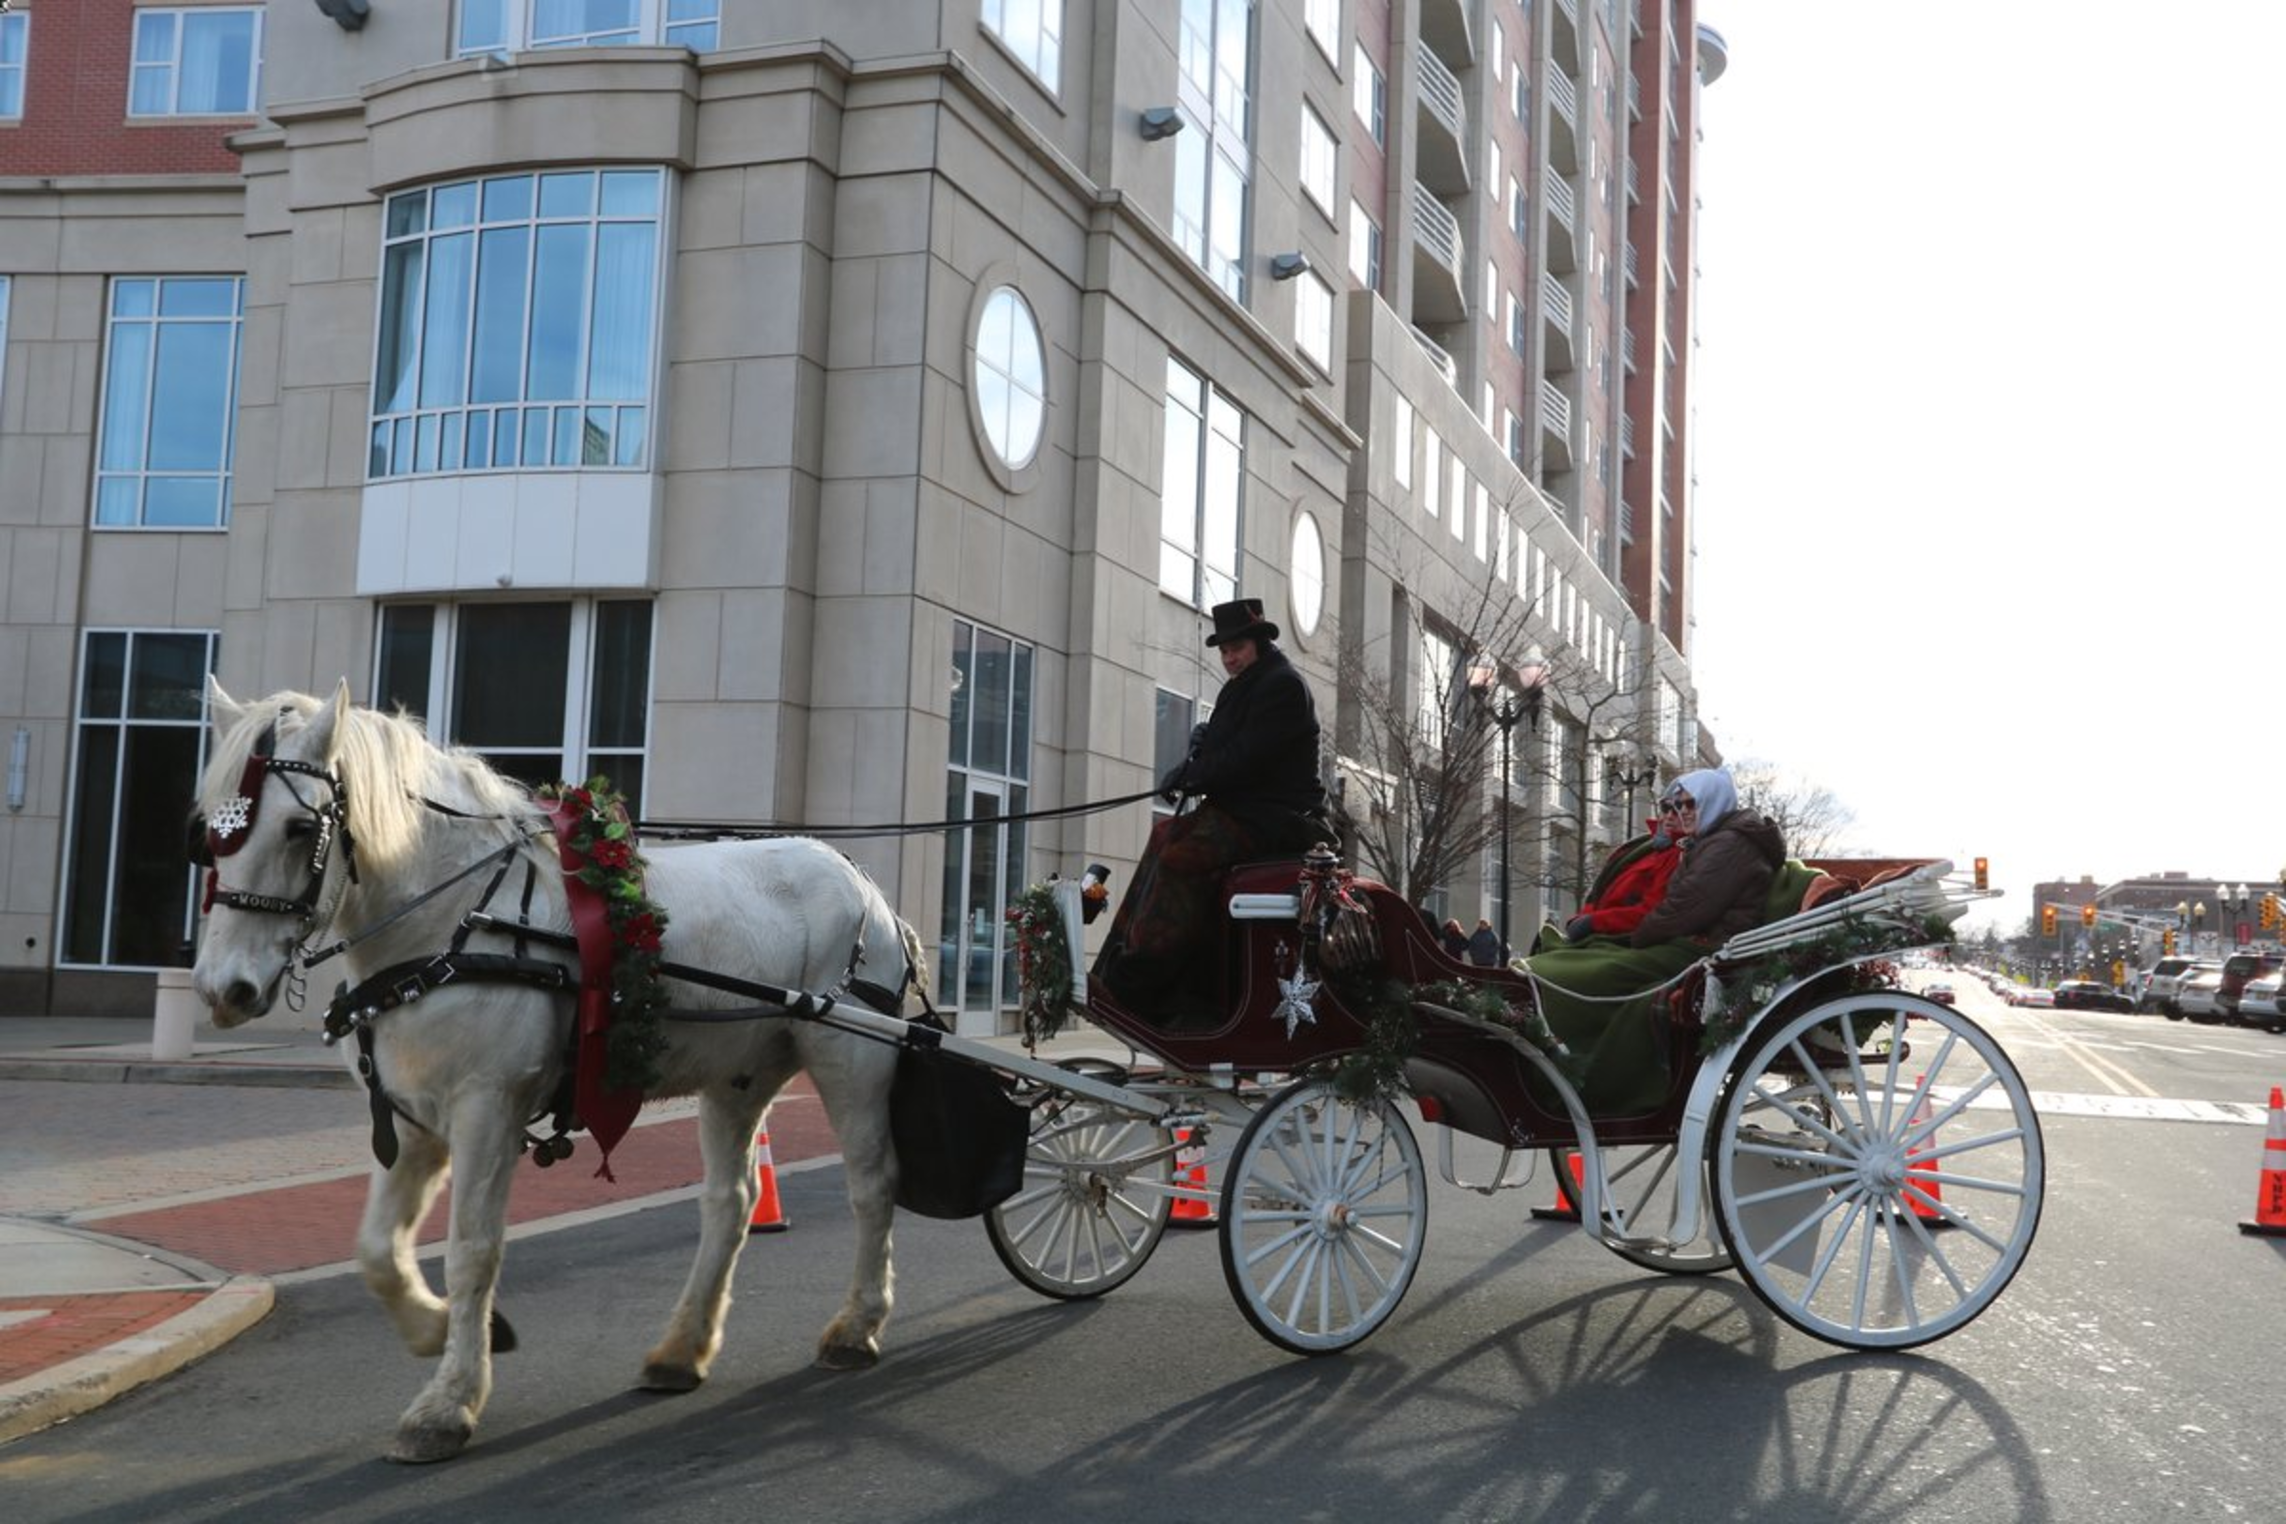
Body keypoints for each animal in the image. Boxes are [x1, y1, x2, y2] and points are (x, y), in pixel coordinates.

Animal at [190, 679, 922, 1463]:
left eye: (301, 828)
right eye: (210, 829)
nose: (223, 989)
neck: (451, 920)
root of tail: (859, 879)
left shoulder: (487, 1108)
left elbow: (472, 1250)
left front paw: (449, 1402)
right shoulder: (414, 1123)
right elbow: (378, 1252)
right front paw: (437, 1329)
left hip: (852, 1059)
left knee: (872, 1184)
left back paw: (856, 1326)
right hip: (739, 1076)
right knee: (731, 1202)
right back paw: (681, 1349)